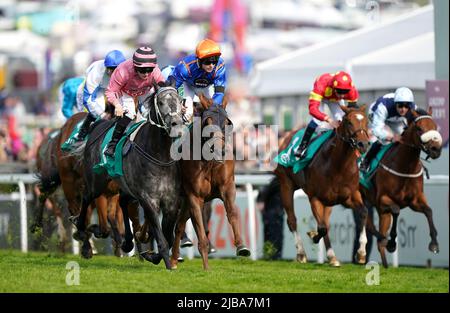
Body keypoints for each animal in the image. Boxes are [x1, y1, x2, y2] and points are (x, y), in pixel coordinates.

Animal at [76, 81, 184, 270]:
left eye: (179, 100)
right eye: (161, 102)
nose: (176, 124)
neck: (159, 156)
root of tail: (99, 125)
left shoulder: (171, 201)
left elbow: (169, 237)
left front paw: (153, 256)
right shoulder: (148, 200)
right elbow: (161, 237)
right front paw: (166, 263)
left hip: (126, 188)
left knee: (122, 201)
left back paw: (126, 242)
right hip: (97, 182)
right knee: (86, 197)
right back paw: (81, 229)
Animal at [171, 94, 251, 270]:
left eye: (227, 122)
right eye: (207, 122)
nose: (219, 150)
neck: (209, 162)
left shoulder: (227, 187)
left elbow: (232, 212)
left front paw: (241, 246)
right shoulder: (194, 196)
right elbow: (200, 231)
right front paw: (207, 268)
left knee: (178, 226)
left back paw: (173, 260)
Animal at [276, 105, 370, 266]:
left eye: (367, 121)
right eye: (349, 122)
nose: (363, 144)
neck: (338, 167)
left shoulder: (349, 196)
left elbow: (363, 213)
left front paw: (361, 253)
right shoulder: (315, 198)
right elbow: (322, 228)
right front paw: (313, 235)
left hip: (328, 202)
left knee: (325, 223)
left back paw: (332, 257)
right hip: (286, 184)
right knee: (292, 220)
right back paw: (301, 253)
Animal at [362, 108, 442, 266]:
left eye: (435, 126)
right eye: (419, 128)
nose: (436, 149)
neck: (405, 166)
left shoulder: (415, 201)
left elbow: (429, 211)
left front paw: (434, 244)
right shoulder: (383, 199)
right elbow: (396, 210)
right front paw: (392, 243)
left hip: (380, 210)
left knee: (379, 238)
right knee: (369, 225)